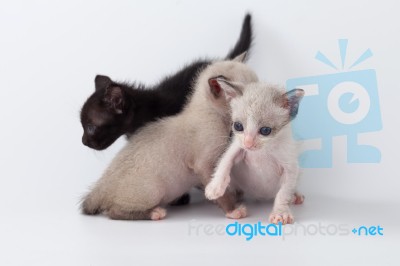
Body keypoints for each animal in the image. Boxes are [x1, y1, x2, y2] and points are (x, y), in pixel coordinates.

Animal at [80, 53, 260, 220]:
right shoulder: (203, 164)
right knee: (113, 211)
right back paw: (155, 213)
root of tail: (101, 185)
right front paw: (232, 210)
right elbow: (219, 189)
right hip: (154, 190)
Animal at [205, 83, 304, 224]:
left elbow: (284, 192)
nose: (248, 143)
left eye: (265, 130)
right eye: (238, 126)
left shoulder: (290, 164)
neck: (262, 152)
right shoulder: (237, 146)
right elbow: (225, 161)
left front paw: (280, 213)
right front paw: (215, 187)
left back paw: (295, 196)